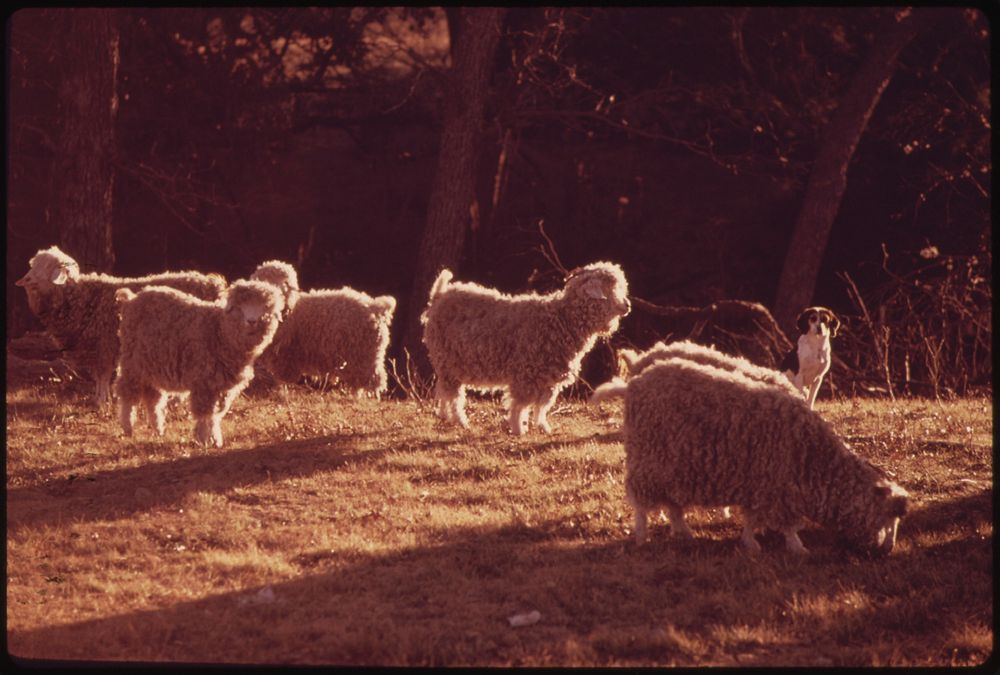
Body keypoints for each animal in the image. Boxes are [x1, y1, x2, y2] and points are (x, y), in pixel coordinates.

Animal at [15, 248, 227, 406]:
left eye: (49, 266)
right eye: (33, 265)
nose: (27, 279)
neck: (79, 297)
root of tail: (213, 283)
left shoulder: (104, 344)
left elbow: (103, 374)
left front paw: (101, 400)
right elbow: (101, 374)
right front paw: (102, 397)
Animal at [114, 280, 284, 448]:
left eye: (265, 306)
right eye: (240, 306)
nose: (252, 321)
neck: (219, 330)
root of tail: (132, 298)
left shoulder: (221, 386)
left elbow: (215, 414)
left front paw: (215, 439)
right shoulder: (203, 381)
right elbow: (204, 412)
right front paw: (203, 439)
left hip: (153, 365)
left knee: (153, 399)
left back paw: (158, 430)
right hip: (132, 362)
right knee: (128, 393)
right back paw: (128, 428)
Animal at [250, 258, 398, 396]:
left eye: (285, 283)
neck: (291, 312)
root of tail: (375, 307)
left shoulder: (286, 356)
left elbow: (283, 379)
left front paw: (280, 392)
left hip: (365, 355)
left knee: (373, 380)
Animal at [424, 262, 632, 436]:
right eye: (609, 288)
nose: (627, 305)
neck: (561, 319)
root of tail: (439, 295)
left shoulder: (548, 378)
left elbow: (542, 407)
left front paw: (543, 427)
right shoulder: (525, 373)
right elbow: (520, 405)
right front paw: (518, 429)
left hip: (448, 364)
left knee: (444, 390)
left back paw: (445, 416)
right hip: (447, 360)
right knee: (453, 395)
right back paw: (461, 421)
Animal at [616, 356, 908, 556]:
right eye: (887, 519)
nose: (886, 551)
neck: (812, 457)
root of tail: (635, 384)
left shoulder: (758, 485)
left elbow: (751, 517)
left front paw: (751, 542)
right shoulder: (776, 487)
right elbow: (783, 524)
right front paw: (796, 546)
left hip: (673, 469)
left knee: (674, 505)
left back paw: (684, 532)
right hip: (649, 462)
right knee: (641, 505)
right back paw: (642, 536)